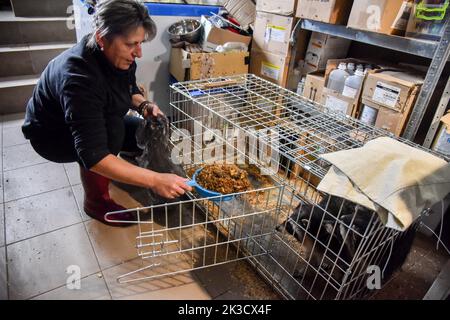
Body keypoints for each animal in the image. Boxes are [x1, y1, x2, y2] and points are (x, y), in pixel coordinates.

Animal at [276, 195, 416, 284]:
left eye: (289, 226)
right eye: (286, 220)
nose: (277, 227)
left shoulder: (335, 243)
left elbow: (343, 262)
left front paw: (339, 277)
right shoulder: (315, 242)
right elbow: (312, 256)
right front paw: (305, 268)